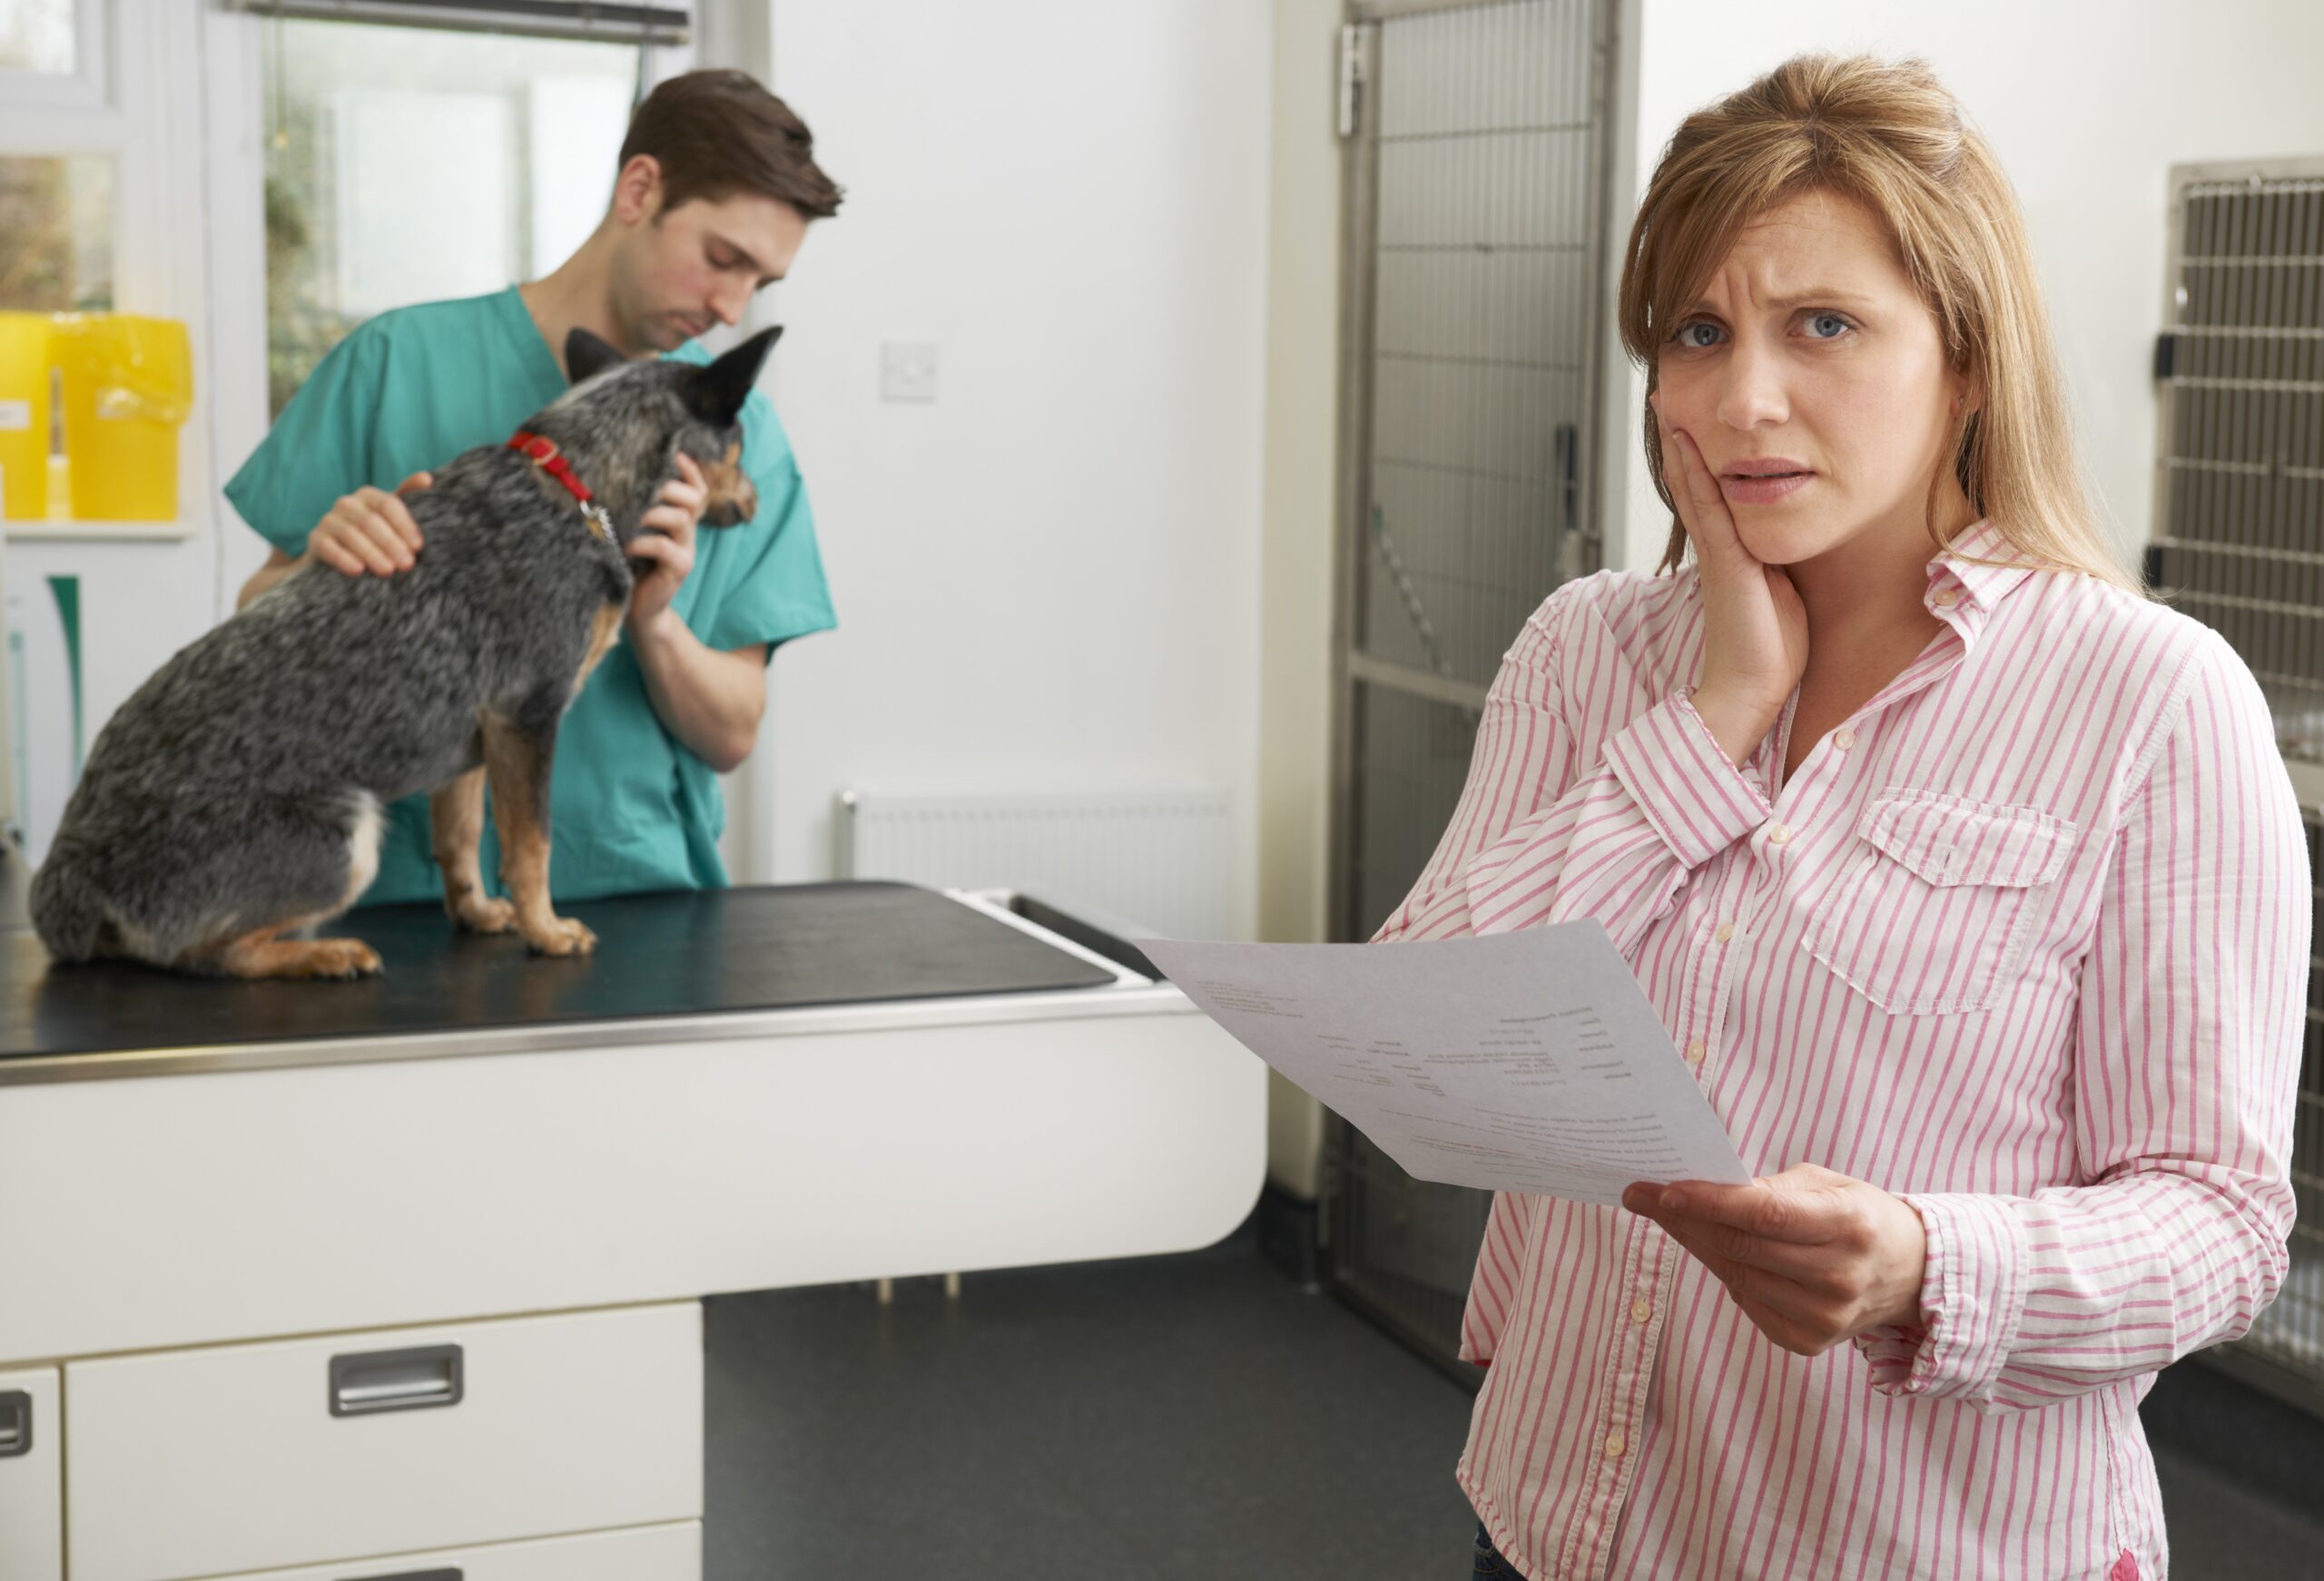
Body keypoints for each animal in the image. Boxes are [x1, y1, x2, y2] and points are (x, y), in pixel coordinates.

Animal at [29, 323, 781, 976]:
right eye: (742, 444)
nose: (762, 499)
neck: (578, 492)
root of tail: (68, 872)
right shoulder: (528, 714)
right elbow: (531, 845)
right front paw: (546, 931)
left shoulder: (475, 741)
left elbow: (461, 840)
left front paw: (479, 913)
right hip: (351, 833)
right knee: (208, 955)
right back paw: (324, 954)